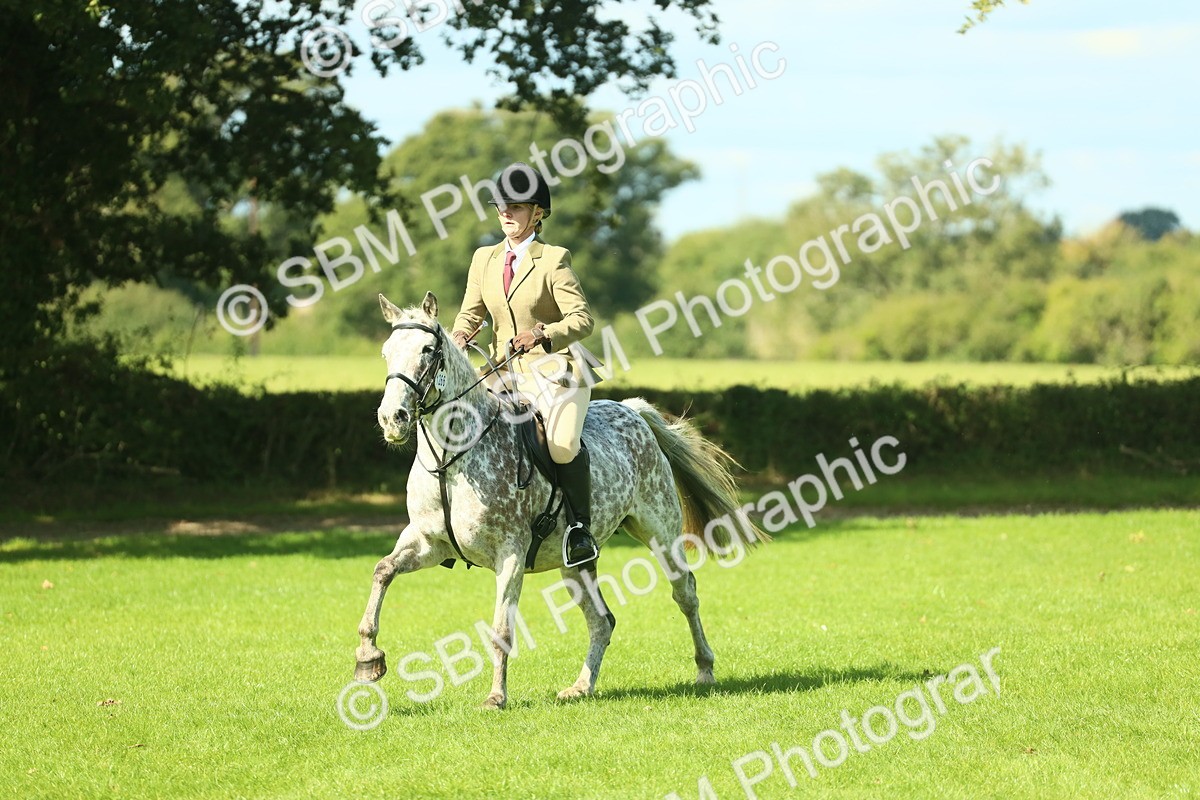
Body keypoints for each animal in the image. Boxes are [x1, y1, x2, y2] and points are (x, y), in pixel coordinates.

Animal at [354, 292, 767, 709]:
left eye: (427, 350)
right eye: (387, 352)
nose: (392, 419)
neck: (451, 459)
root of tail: (632, 410)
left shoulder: (510, 554)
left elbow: (501, 629)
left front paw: (496, 697)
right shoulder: (428, 544)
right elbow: (382, 571)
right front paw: (368, 658)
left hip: (661, 534)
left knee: (685, 594)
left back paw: (705, 670)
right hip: (576, 564)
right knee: (602, 621)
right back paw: (582, 686)